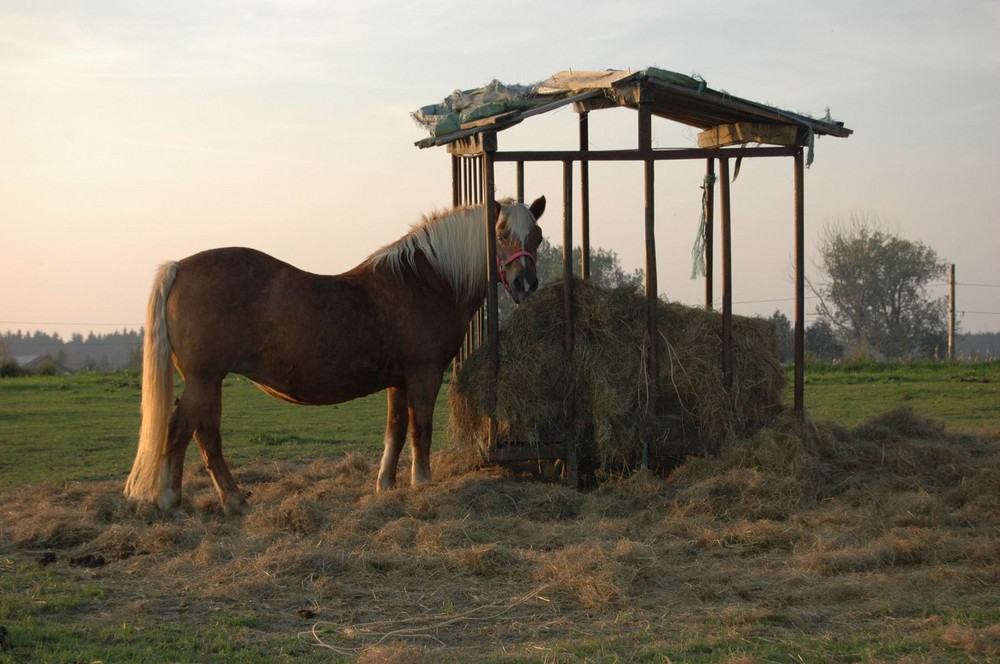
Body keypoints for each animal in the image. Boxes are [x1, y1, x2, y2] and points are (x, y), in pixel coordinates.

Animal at [127, 195, 548, 516]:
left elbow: (395, 430)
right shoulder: (423, 375)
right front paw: (422, 483)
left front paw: (385, 485)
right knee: (181, 429)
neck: (427, 282)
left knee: (207, 435)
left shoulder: (398, 380)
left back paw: (233, 501)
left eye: (538, 237)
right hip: (204, 379)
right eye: (501, 234)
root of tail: (179, 267)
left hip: (211, 381)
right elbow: (420, 430)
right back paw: (173, 502)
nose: (525, 284)